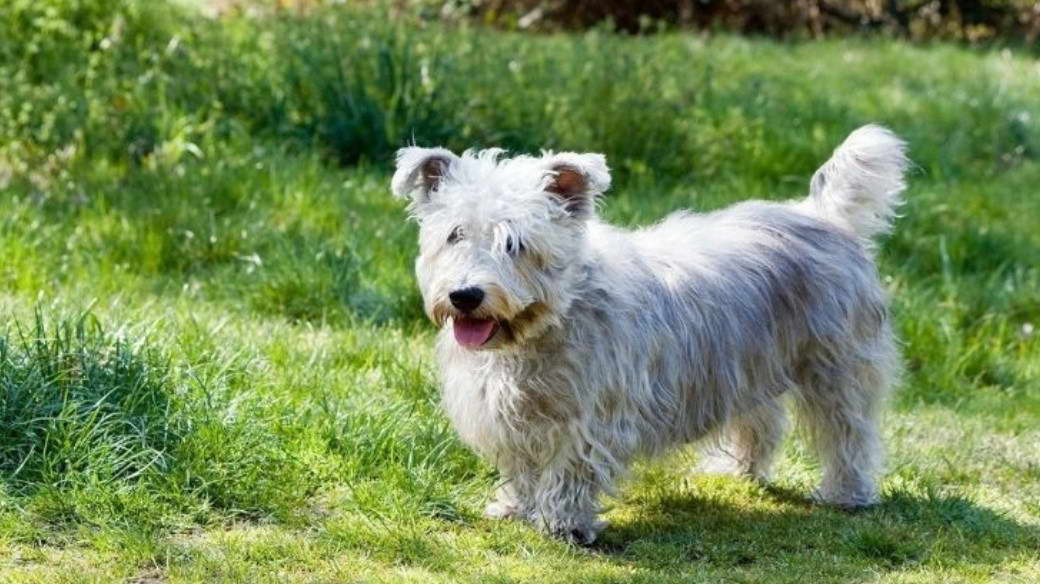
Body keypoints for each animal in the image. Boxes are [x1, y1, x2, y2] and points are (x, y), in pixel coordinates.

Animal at [388, 125, 902, 544]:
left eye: (514, 243)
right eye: (455, 234)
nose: (465, 295)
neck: (551, 321)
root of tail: (825, 217)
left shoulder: (591, 416)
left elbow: (571, 467)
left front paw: (564, 522)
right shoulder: (509, 412)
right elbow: (522, 464)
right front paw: (516, 506)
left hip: (836, 368)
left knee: (849, 433)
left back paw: (847, 493)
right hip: (746, 363)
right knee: (762, 422)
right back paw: (736, 470)